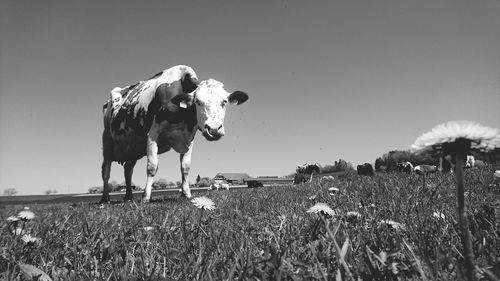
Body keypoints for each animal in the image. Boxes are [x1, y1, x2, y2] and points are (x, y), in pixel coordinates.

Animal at [100, 65, 249, 202]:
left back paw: (129, 197)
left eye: (224, 101)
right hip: (107, 140)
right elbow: (152, 166)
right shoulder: (153, 134)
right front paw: (146, 197)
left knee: (128, 170)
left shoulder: (188, 138)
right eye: (197, 102)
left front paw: (186, 193)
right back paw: (105, 198)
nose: (213, 129)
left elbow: (185, 167)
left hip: (133, 147)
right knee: (106, 171)